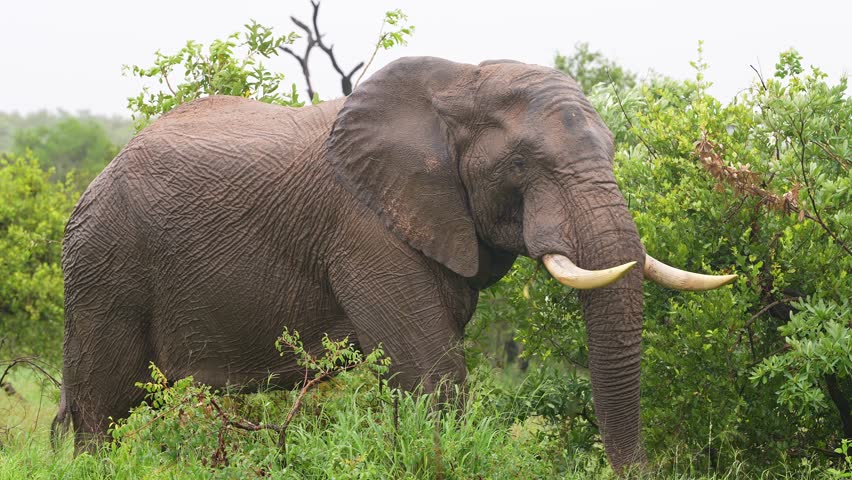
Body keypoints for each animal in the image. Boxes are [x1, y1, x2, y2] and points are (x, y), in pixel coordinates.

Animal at [53, 56, 735, 471]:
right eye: (521, 164)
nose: (638, 472)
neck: (458, 84)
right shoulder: (363, 230)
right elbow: (433, 373)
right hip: (106, 265)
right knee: (103, 409)